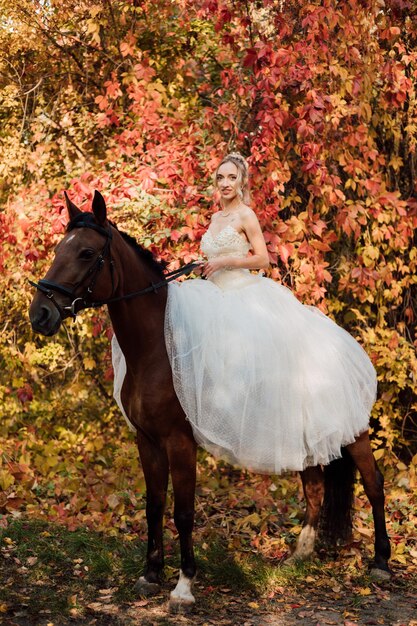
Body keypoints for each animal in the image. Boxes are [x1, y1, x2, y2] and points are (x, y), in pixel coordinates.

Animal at [29, 191, 390, 608]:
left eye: (86, 253)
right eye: (59, 249)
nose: (40, 313)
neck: (157, 347)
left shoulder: (180, 441)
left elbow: (184, 512)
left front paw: (184, 585)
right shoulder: (147, 440)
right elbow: (154, 505)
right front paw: (151, 574)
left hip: (354, 432)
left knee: (374, 484)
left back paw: (381, 563)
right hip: (307, 437)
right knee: (315, 487)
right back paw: (298, 557)